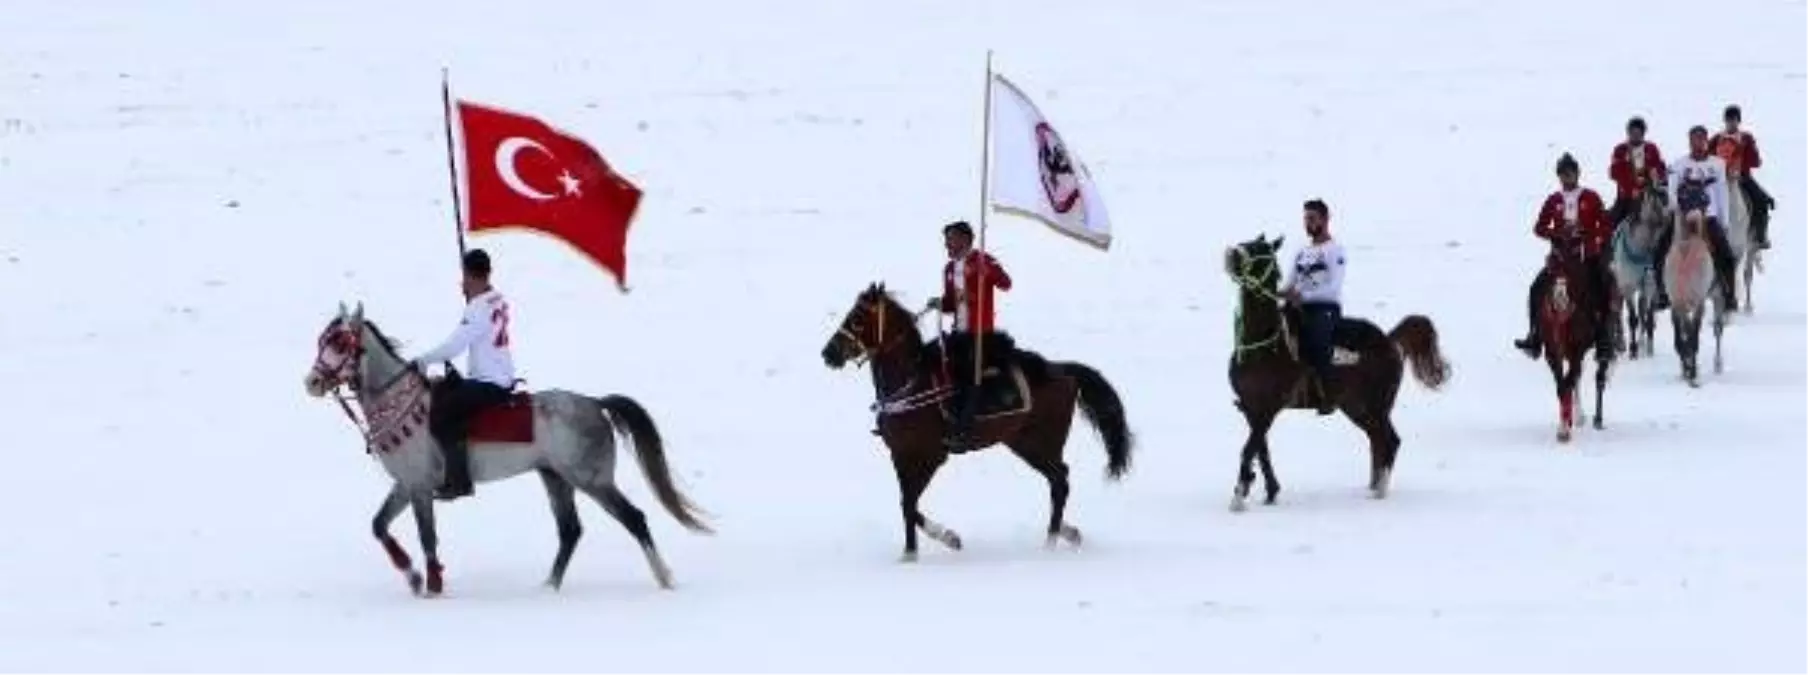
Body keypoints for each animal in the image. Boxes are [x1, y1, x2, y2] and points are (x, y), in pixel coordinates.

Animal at [303, 302, 712, 597]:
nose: (312, 382)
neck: (404, 405)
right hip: (555, 478)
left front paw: (432, 585)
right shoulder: (405, 485)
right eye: (322, 339)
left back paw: (664, 578)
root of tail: (595, 404)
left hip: (592, 480)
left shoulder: (419, 487)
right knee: (570, 531)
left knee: (634, 519)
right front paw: (413, 577)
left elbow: (427, 537)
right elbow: (379, 526)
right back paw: (547, 588)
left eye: (339, 342)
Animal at [820, 280, 1128, 560]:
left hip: (1041, 443)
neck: (911, 384)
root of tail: (1063, 370)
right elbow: (908, 505)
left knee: (1061, 482)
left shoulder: (929, 456)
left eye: (857, 319)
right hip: (1024, 444)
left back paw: (1051, 542)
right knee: (1058, 480)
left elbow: (908, 504)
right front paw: (941, 540)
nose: (828, 354)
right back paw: (1067, 532)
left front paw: (916, 551)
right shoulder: (900, 455)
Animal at [1222, 235, 1446, 510]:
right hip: (1356, 407)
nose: (1231, 254)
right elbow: (1261, 449)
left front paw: (1238, 497)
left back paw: (1381, 490)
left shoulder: (1269, 408)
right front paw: (1270, 491)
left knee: (1390, 440)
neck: (1264, 346)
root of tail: (1389, 340)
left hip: (1377, 405)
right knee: (1376, 440)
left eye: (1260, 250)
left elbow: (1249, 448)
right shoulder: (1250, 408)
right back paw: (1373, 486)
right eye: (1247, 241)